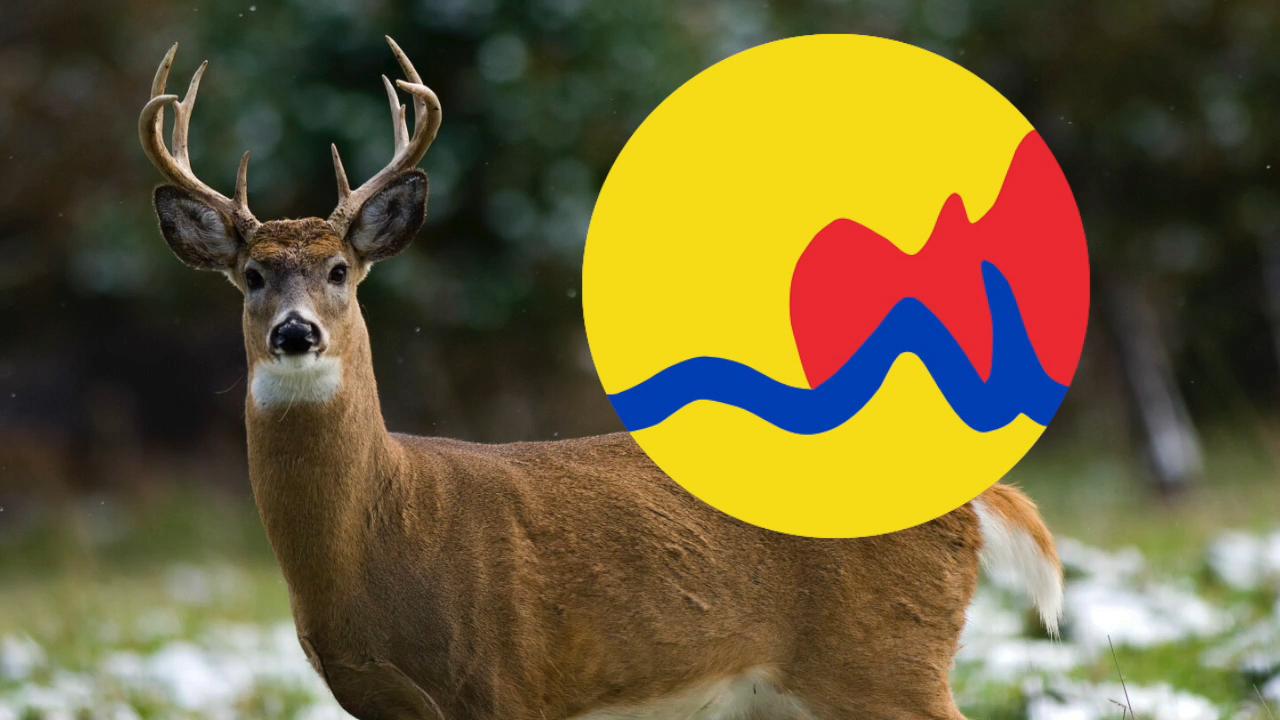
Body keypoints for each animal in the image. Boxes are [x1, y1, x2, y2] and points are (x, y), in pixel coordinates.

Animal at [139, 37, 1064, 720]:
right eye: (252, 277)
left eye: (339, 269)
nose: (296, 332)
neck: (382, 527)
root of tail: (973, 501)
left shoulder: (504, 678)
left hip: (886, 658)